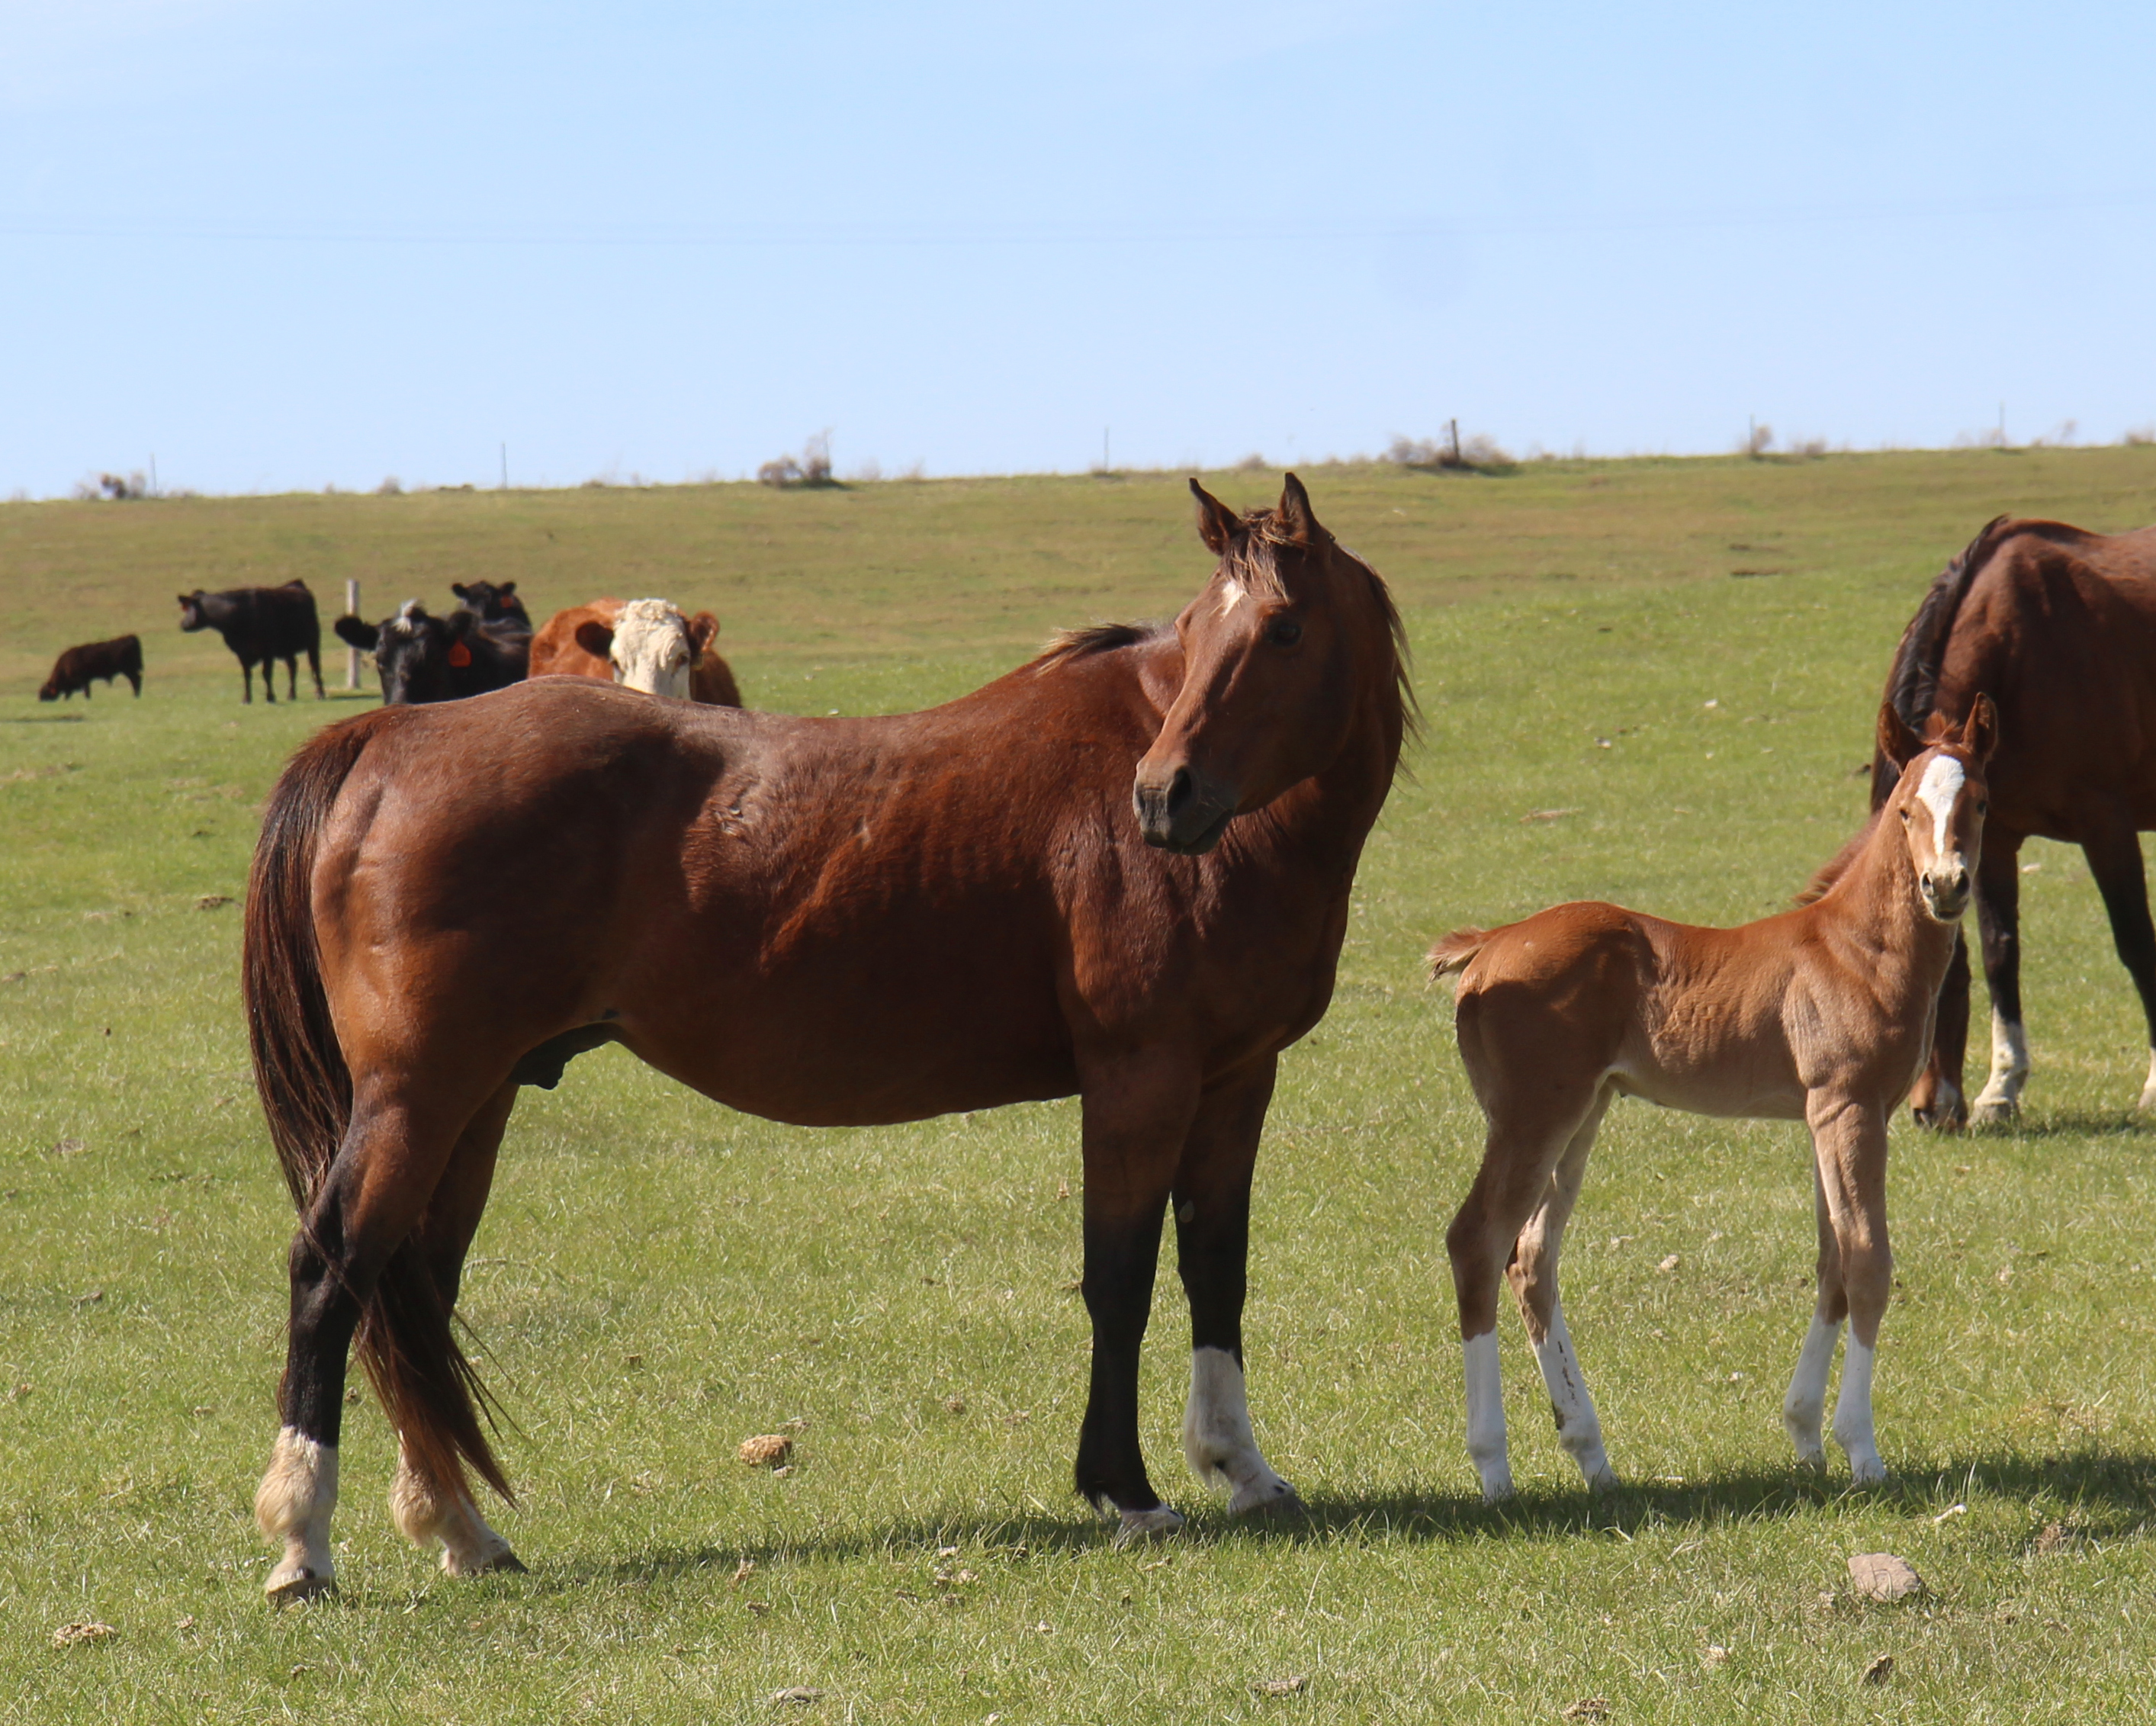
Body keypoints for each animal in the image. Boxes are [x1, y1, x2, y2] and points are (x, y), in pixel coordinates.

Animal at [39, 634, 143, 701]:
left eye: (45, 690)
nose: (40, 697)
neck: (65, 666)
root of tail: (131, 638)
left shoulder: (83, 681)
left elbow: (86, 692)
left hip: (128, 670)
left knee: (135, 680)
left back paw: (135, 696)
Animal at [177, 581, 323, 704]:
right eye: (185, 608)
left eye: (189, 608)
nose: (183, 624)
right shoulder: (241, 653)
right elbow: (247, 675)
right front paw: (247, 699)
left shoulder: (267, 651)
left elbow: (266, 674)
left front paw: (270, 697)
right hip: (287, 649)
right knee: (292, 667)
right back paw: (291, 695)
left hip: (313, 642)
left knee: (315, 666)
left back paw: (320, 693)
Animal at [1427, 696, 1995, 1501]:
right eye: (1906, 808)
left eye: (1978, 801)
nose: (1945, 885)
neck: (1855, 948)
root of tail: (1489, 945)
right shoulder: (1847, 1107)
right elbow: (1866, 1262)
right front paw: (1861, 1450)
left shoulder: (1824, 1116)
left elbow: (1830, 1263)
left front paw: (1804, 1436)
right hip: (1531, 1117)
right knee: (1476, 1241)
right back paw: (1495, 1470)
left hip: (1581, 1113)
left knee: (1530, 1256)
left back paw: (1592, 1455)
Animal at [1852, 517, 2156, 1127]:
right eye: (1904, 811)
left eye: (1926, 987)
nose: (1927, 1111)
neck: (2023, 650)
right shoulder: (1993, 842)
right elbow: (2001, 953)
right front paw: (2001, 1088)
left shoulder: (2106, 826)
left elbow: (2136, 942)